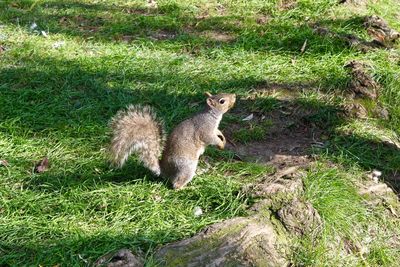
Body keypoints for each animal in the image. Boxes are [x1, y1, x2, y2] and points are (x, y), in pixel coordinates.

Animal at [108, 93, 236, 189]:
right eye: (222, 101)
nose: (234, 96)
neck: (210, 115)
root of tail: (164, 171)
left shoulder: (214, 129)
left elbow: (218, 132)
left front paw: (223, 139)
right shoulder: (205, 130)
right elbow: (211, 138)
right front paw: (220, 144)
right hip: (186, 167)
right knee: (176, 184)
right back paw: (187, 188)